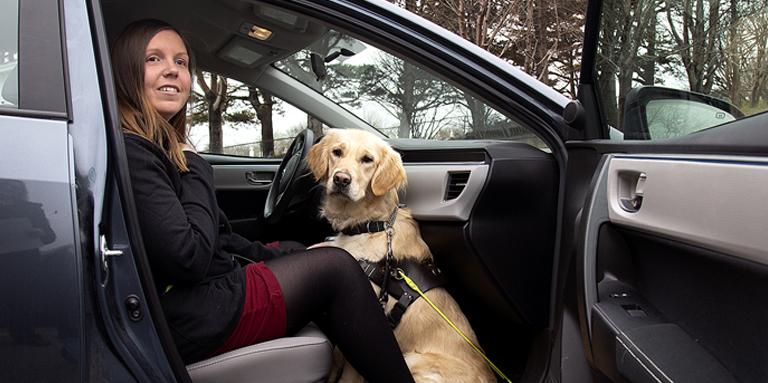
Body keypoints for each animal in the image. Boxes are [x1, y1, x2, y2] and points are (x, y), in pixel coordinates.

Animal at [308, 129, 496, 383]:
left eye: (367, 159)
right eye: (337, 152)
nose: (341, 179)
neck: (370, 225)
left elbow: (349, 373)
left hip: (412, 360)